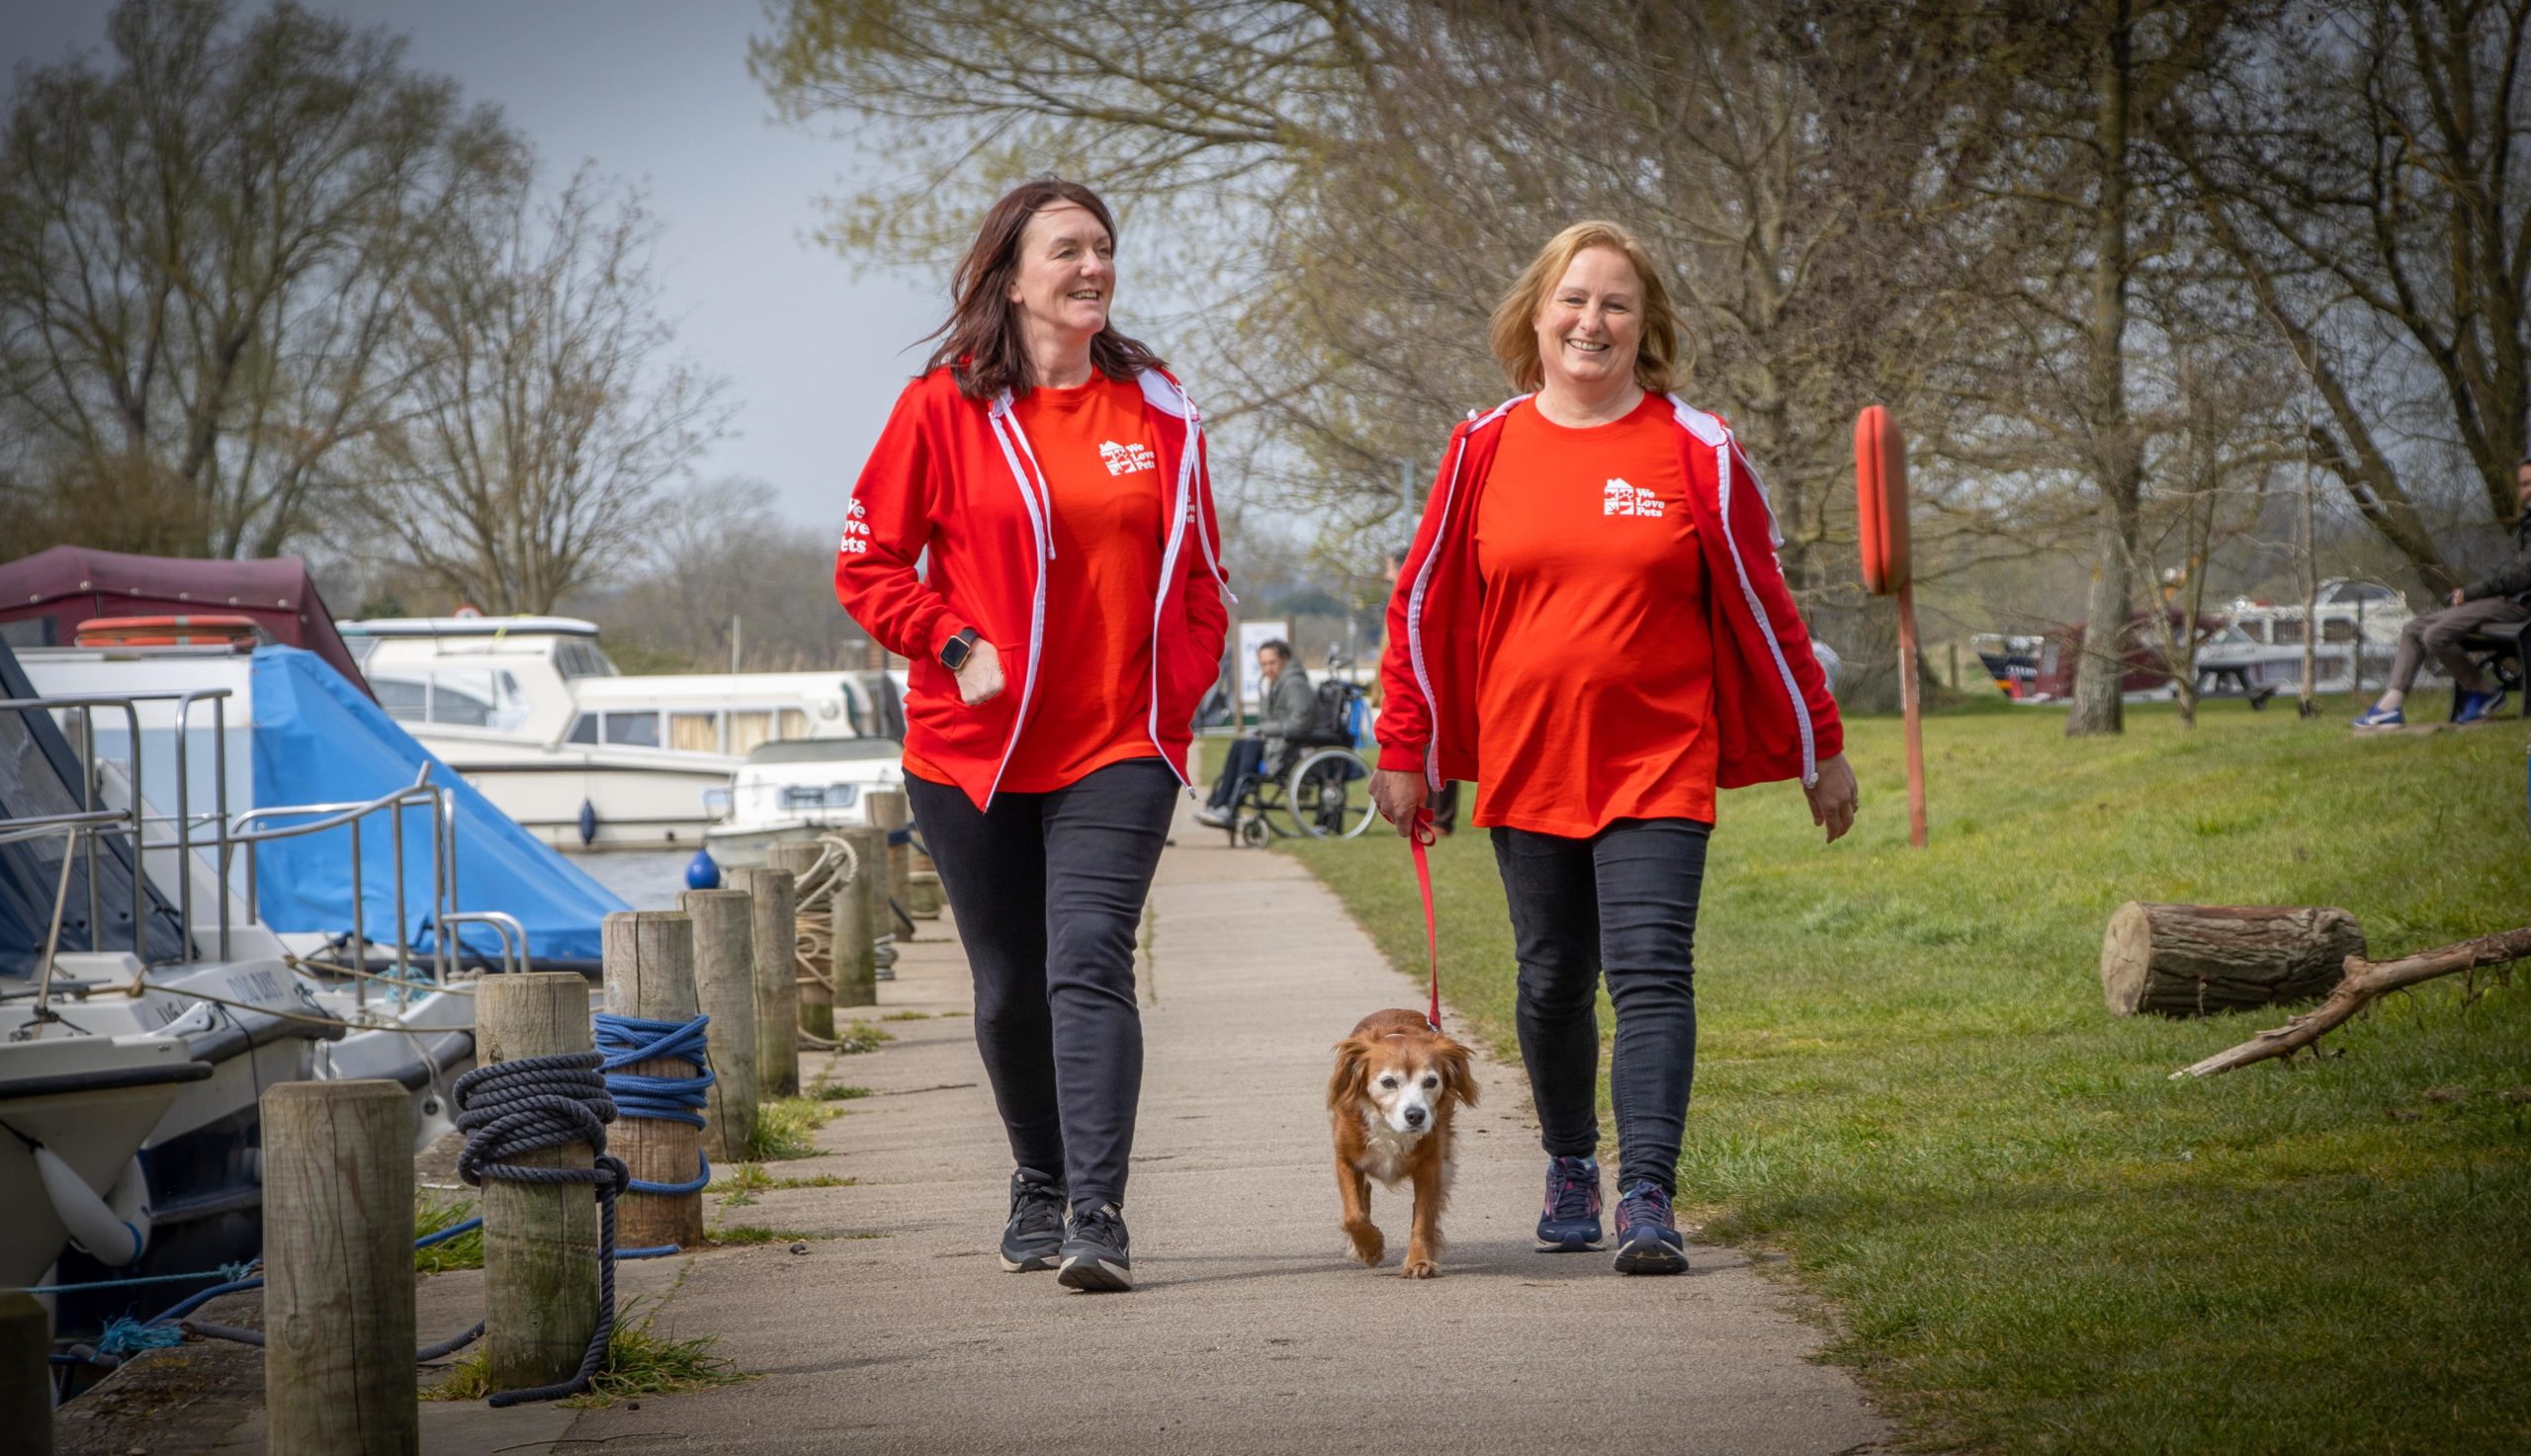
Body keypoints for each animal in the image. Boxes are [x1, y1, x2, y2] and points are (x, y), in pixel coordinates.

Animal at [1336, 1007, 1478, 1281]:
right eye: (1388, 1082)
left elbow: (1423, 1216)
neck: (1390, 1127)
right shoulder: (1346, 1157)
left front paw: (1419, 1261)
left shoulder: (1430, 1164)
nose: (1415, 1115)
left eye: (1431, 1081)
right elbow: (1353, 1215)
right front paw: (1371, 1248)